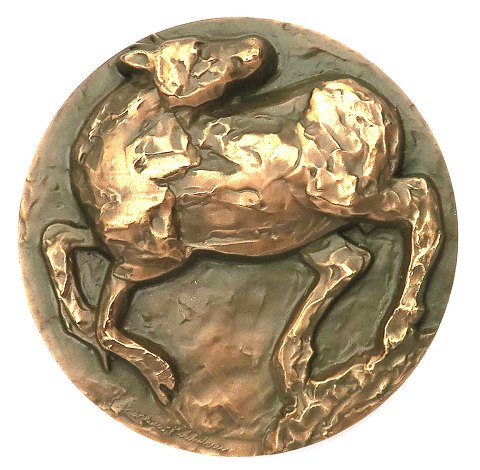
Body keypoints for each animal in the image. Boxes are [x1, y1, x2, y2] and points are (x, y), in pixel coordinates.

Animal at [42, 35, 442, 405]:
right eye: (198, 50)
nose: (259, 45)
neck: (121, 161)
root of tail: (377, 103)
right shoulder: (122, 248)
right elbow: (55, 237)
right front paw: (79, 321)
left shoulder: (150, 260)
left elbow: (106, 326)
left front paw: (162, 379)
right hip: (307, 225)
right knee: (348, 261)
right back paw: (297, 370)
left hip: (344, 195)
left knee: (421, 201)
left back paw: (397, 326)